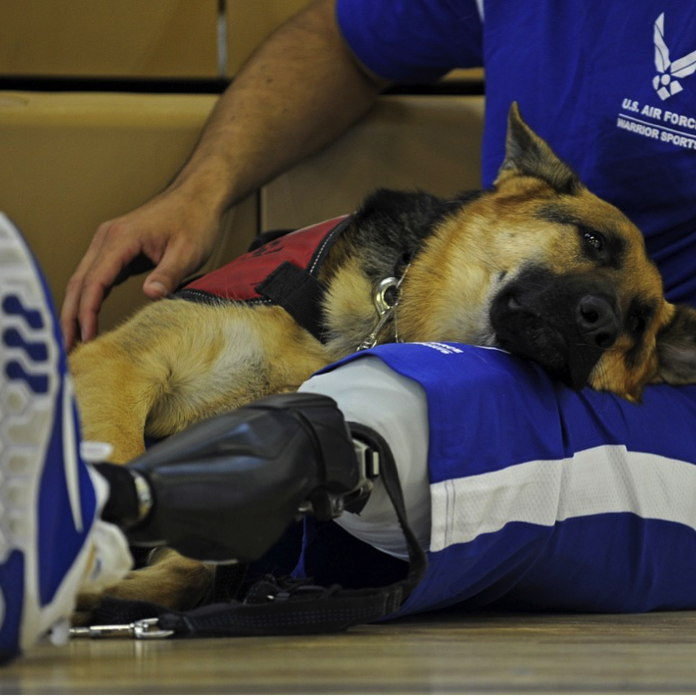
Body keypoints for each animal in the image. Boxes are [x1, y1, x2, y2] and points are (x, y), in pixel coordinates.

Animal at [70, 102, 696, 616]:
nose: (603, 325)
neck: (383, 317)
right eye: (593, 241)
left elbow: (198, 563)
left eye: (638, 324)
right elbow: (119, 465)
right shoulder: (119, 364)